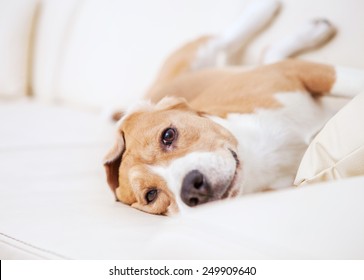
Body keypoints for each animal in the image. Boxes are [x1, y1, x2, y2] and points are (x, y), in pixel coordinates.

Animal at [101, 0, 364, 214]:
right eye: (151, 195)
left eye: (168, 135)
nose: (191, 188)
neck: (256, 156)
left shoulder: (302, 71)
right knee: (267, 52)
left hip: (199, 56)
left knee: (225, 40)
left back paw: (266, 10)